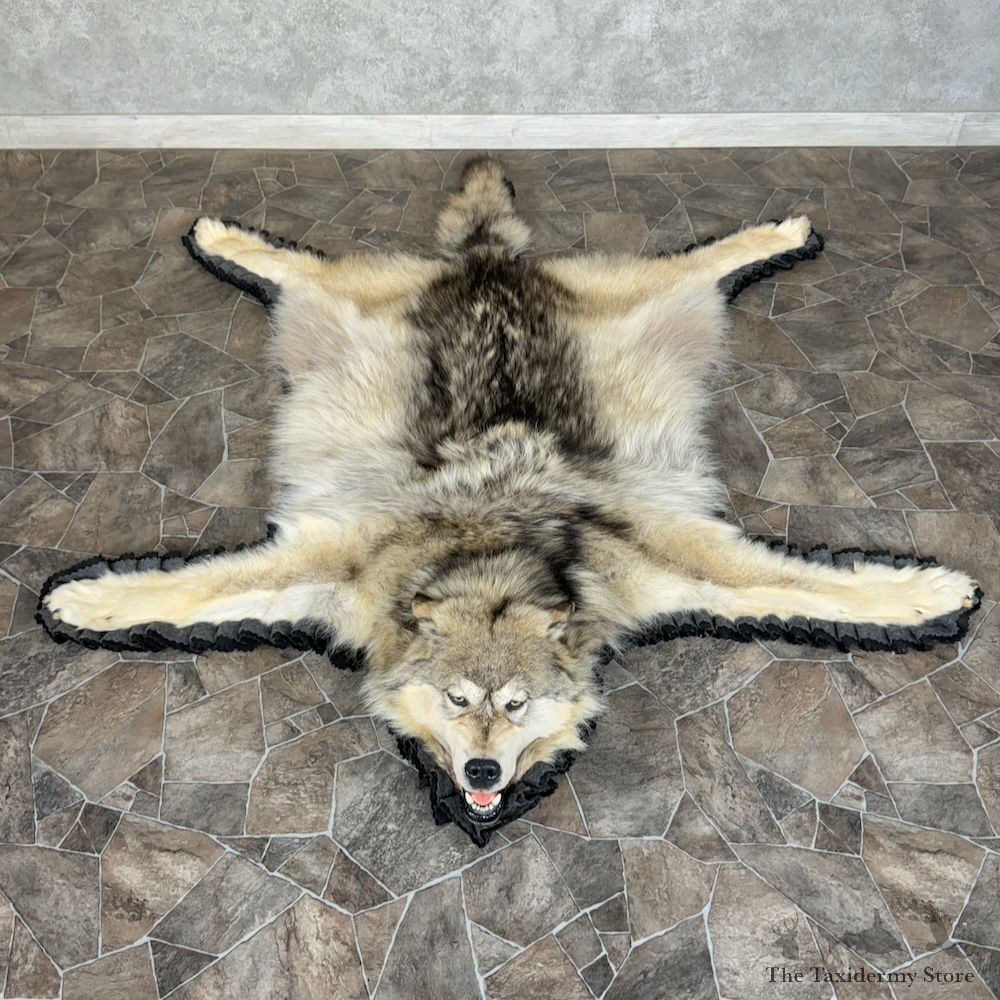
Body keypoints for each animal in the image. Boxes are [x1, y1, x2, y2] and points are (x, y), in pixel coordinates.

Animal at [42, 157, 978, 833]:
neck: (491, 552)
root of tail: (488, 261)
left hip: (655, 298)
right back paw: (222, 237)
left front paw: (928, 595)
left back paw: (779, 232)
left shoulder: (674, 560)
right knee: (297, 262)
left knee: (706, 257)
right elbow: (182, 593)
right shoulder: (338, 563)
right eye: (459, 701)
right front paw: (81, 600)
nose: (484, 771)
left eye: (515, 705)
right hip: (339, 302)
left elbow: (814, 591)